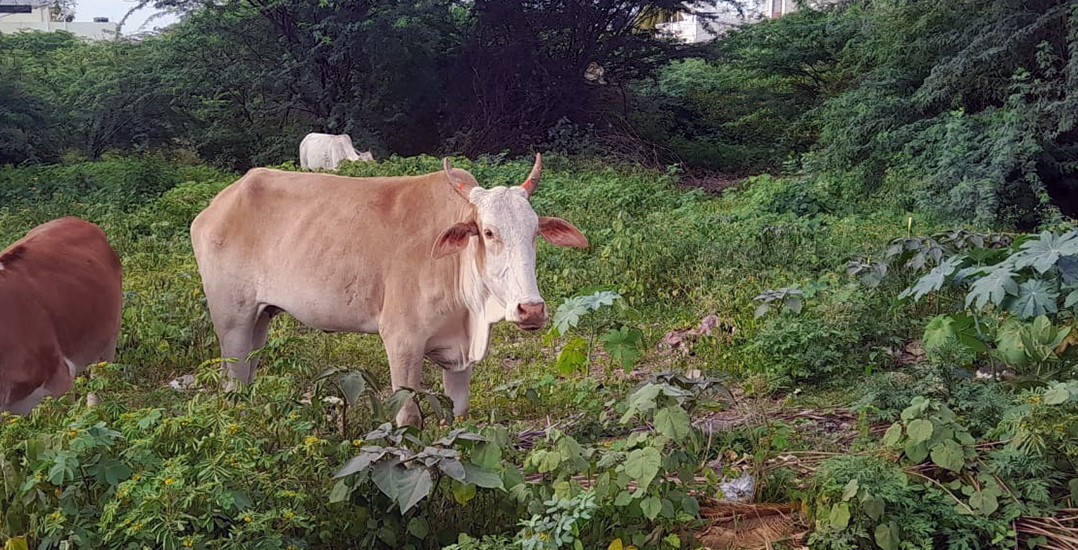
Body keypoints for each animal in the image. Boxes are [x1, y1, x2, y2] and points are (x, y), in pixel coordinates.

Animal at [189, 153, 586, 424]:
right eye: (488, 233)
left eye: (534, 233)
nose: (531, 309)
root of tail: (219, 204)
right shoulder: (402, 341)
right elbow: (408, 416)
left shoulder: (459, 358)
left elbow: (458, 416)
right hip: (232, 320)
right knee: (233, 385)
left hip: (259, 319)